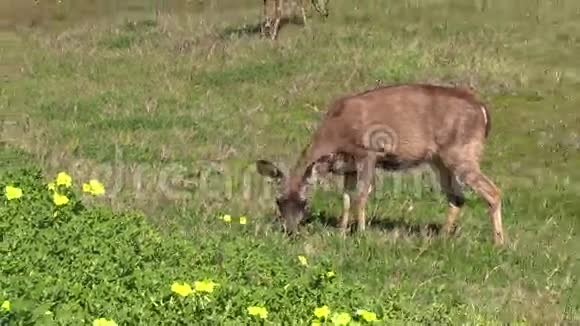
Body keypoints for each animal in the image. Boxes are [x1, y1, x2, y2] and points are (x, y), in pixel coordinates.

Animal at [256, 83, 506, 246]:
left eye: (304, 202)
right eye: (278, 201)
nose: (290, 231)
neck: (336, 132)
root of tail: (483, 111)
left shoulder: (368, 153)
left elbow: (360, 197)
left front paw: (361, 233)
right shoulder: (347, 166)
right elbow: (346, 198)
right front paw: (341, 231)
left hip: (461, 151)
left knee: (493, 191)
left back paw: (498, 243)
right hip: (439, 159)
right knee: (457, 197)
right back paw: (442, 237)